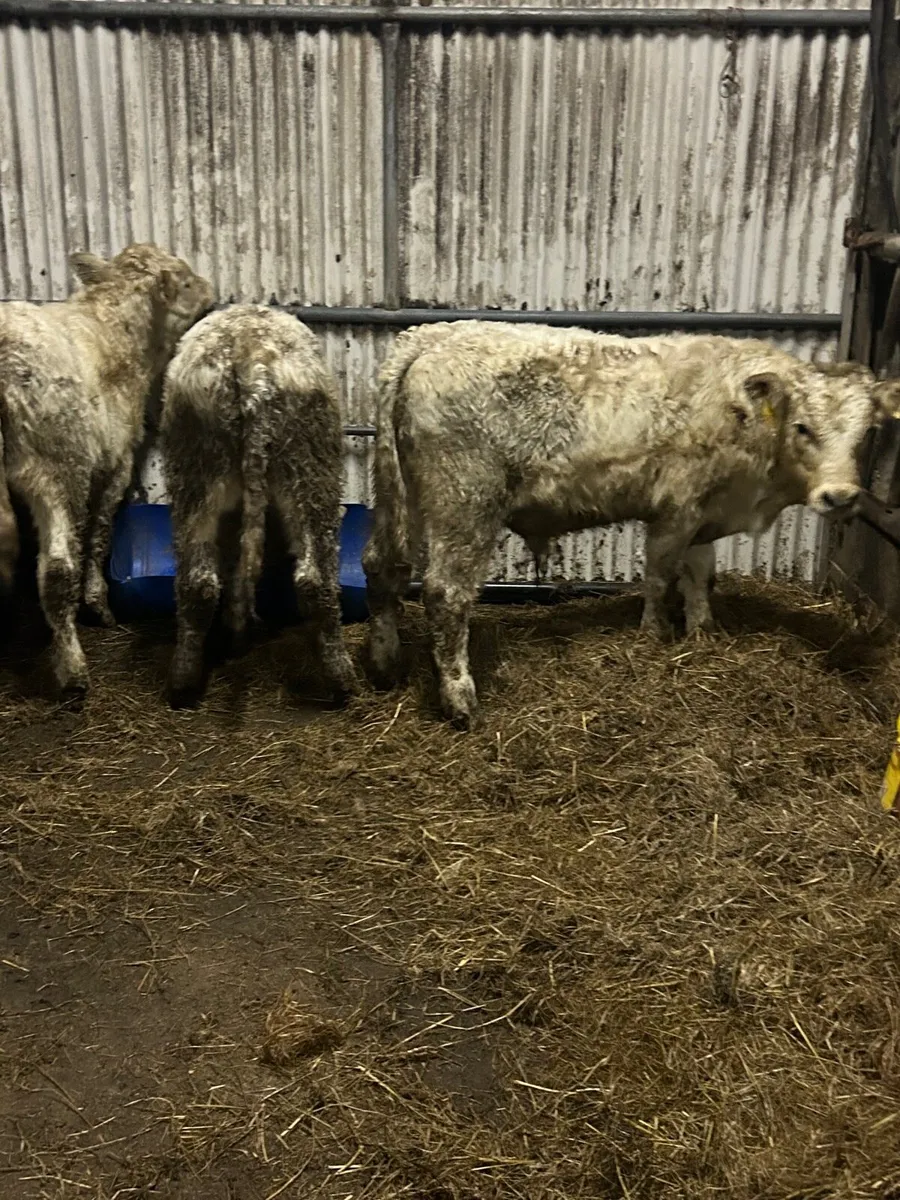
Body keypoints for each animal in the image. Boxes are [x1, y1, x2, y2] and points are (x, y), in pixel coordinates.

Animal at [0, 243, 214, 698]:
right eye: (186, 281)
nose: (210, 291)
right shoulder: (116, 463)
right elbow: (98, 534)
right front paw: (98, 604)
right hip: (53, 470)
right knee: (56, 571)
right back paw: (74, 672)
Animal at [159, 304, 358, 709]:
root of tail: (249, 359)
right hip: (307, 468)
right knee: (315, 578)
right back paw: (342, 679)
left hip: (196, 469)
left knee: (197, 581)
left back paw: (183, 680)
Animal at [361, 322, 900, 729]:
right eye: (803, 427)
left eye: (867, 434)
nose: (840, 496)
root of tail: (432, 335)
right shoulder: (675, 508)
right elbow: (660, 578)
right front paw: (654, 637)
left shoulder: (702, 513)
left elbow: (700, 577)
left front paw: (703, 634)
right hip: (464, 500)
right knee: (446, 593)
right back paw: (461, 701)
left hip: (401, 496)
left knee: (381, 566)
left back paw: (386, 664)